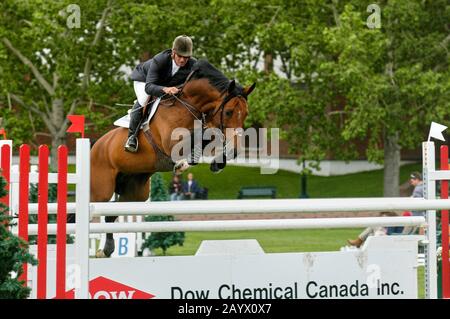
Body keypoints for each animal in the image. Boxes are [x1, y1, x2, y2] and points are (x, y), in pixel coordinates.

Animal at [89, 60, 255, 258]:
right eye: (229, 112)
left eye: (245, 113)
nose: (235, 151)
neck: (190, 104)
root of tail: (96, 146)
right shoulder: (171, 142)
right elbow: (198, 136)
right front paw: (183, 164)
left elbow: (207, 135)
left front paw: (217, 162)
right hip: (101, 190)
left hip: (136, 192)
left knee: (111, 213)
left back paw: (106, 250)